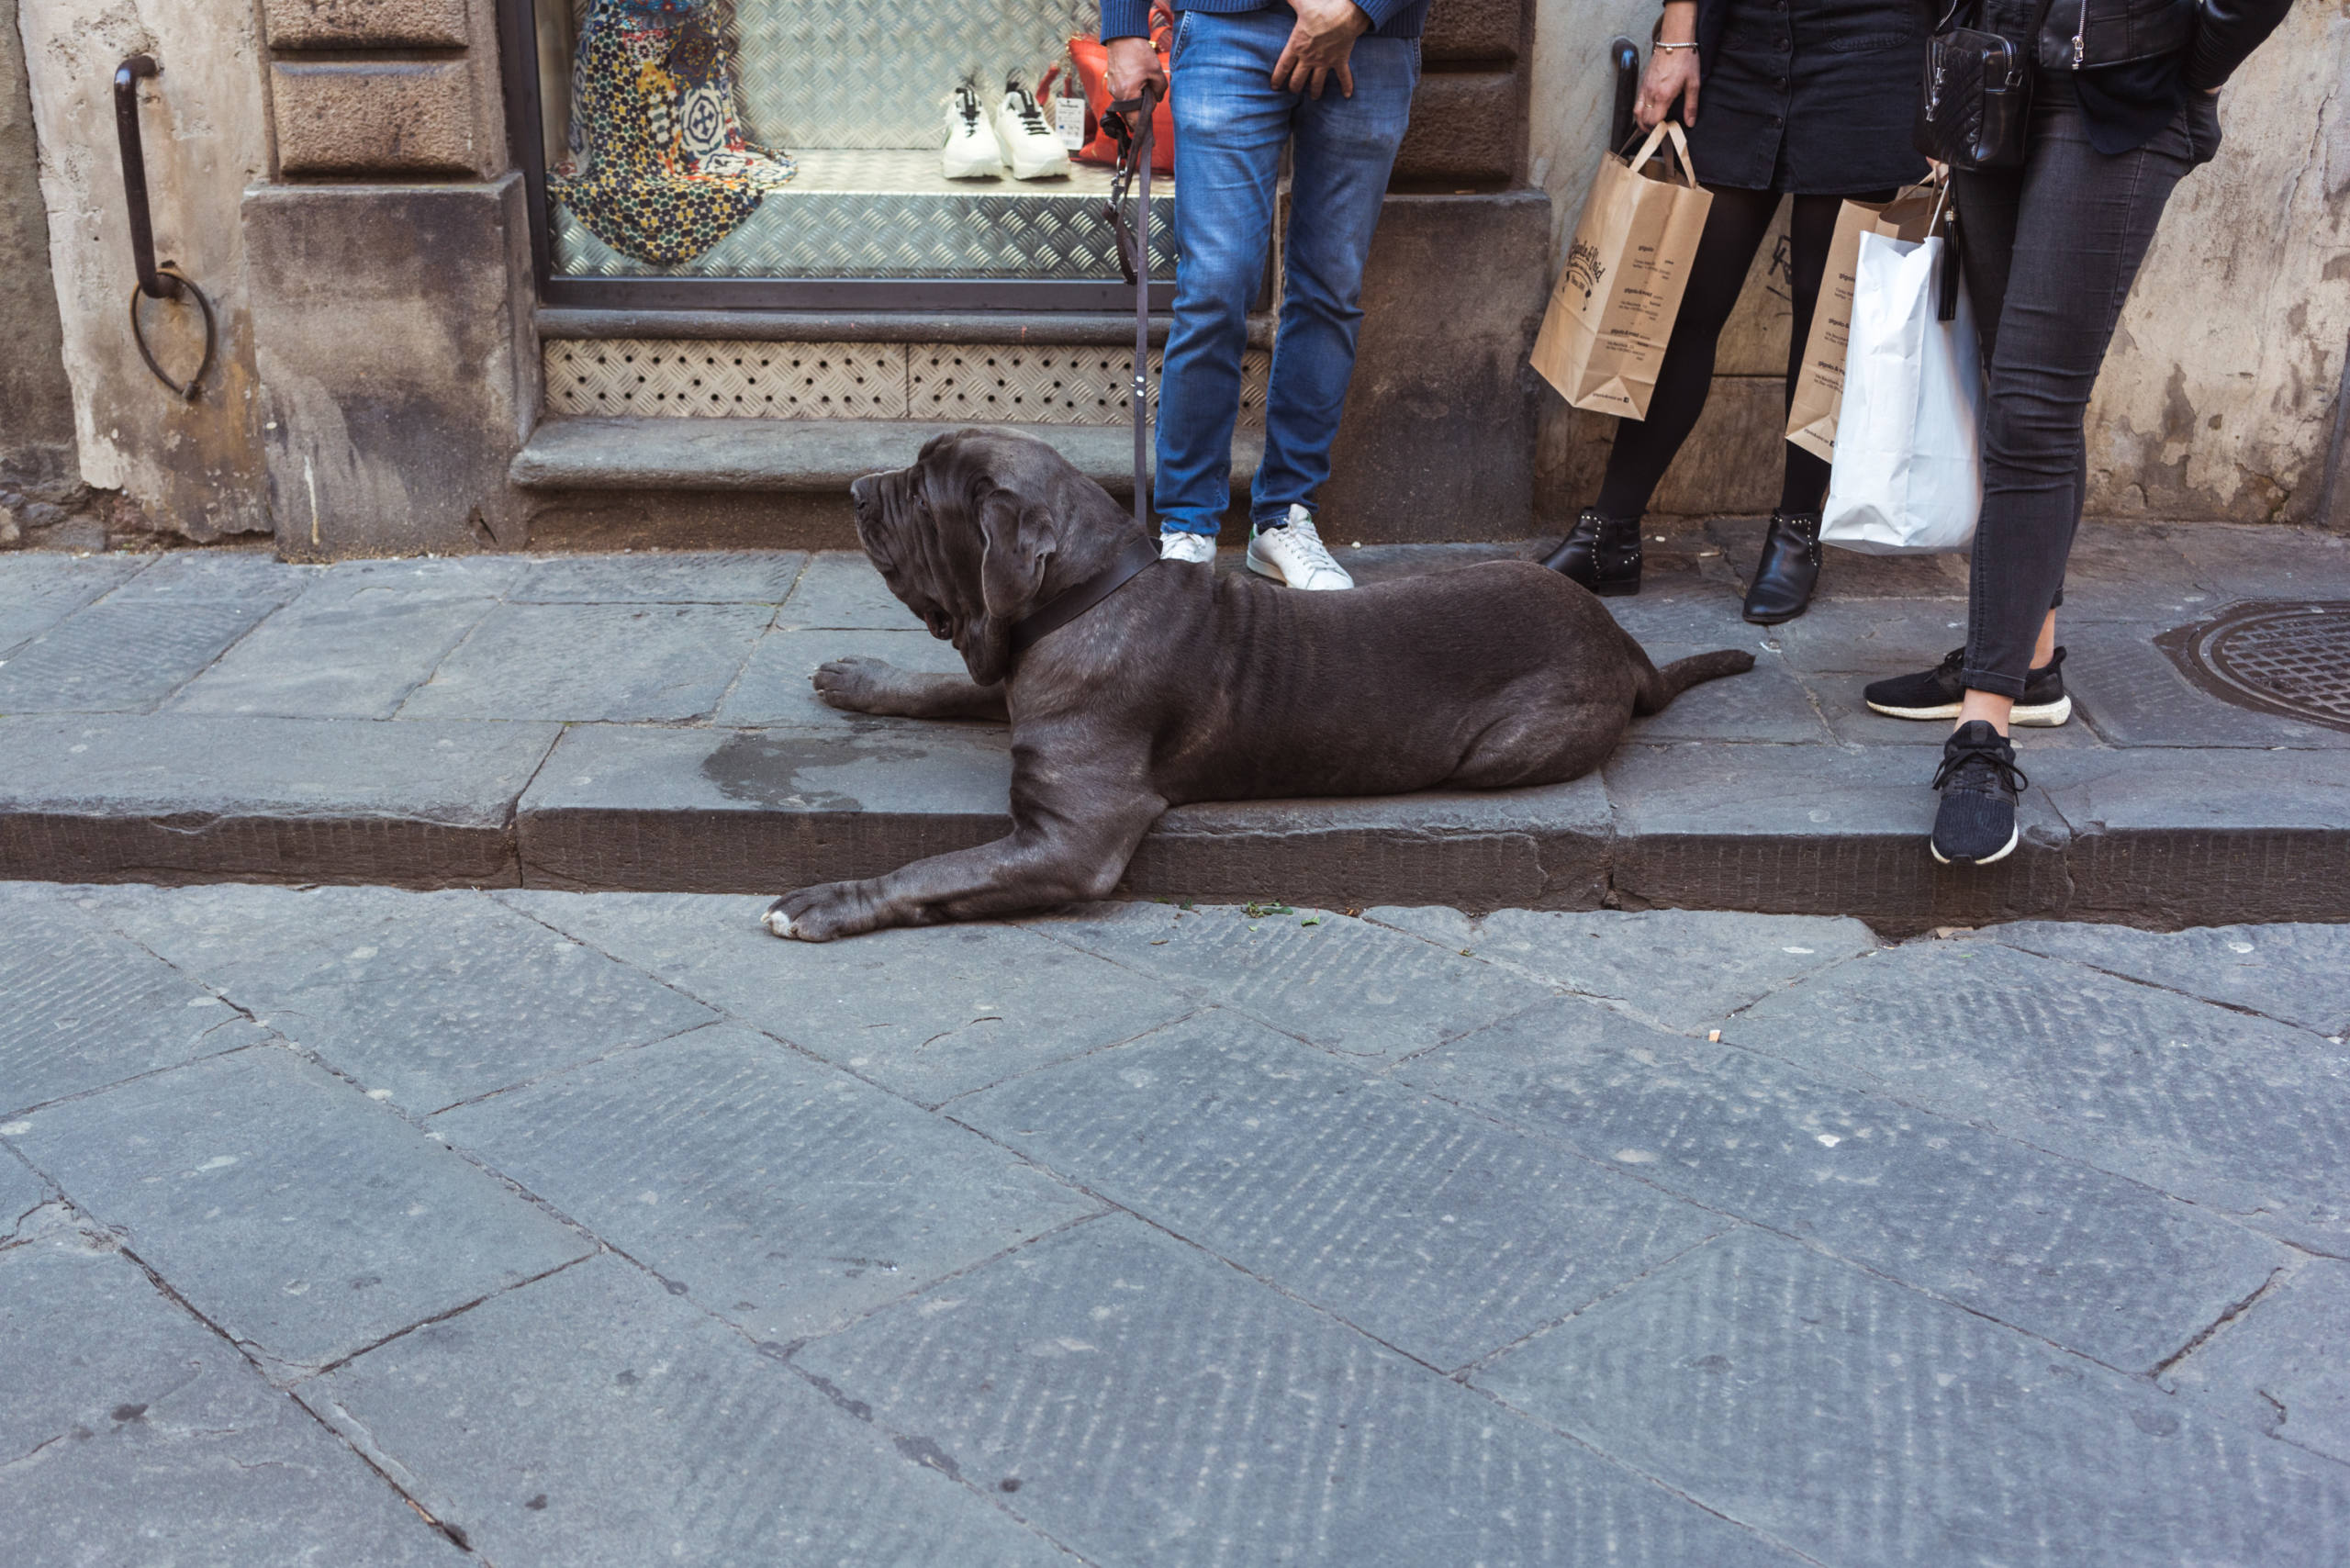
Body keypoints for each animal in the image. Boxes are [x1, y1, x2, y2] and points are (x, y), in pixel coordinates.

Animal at [761, 425, 1757, 945]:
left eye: (923, 491)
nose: (855, 491)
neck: (1080, 596)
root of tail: (1622, 639)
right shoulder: (1009, 675)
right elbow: (941, 687)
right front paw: (859, 675)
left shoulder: (1069, 837)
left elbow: (936, 867)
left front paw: (824, 901)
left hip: (1500, 751)